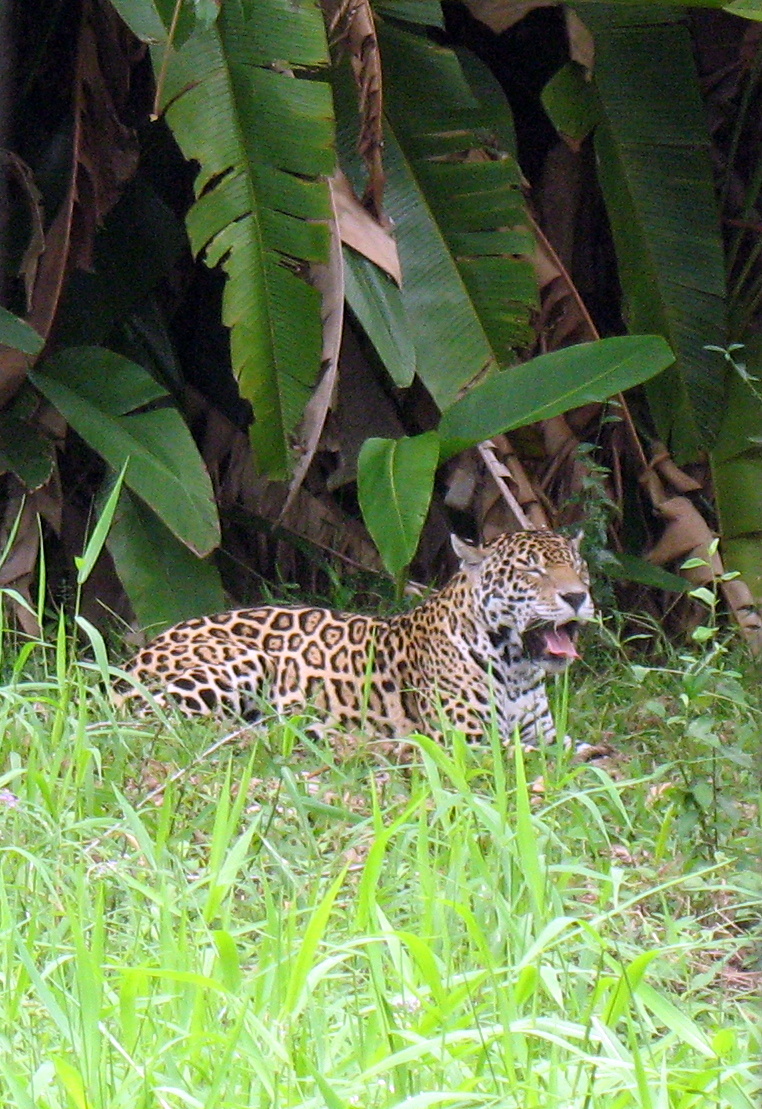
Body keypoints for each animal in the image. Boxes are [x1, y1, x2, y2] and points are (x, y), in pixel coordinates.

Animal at [117, 530, 594, 747]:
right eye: (531, 571)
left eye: (578, 566)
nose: (577, 596)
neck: (516, 667)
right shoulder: (467, 739)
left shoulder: (545, 733)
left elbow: (577, 752)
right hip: (241, 663)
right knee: (179, 724)